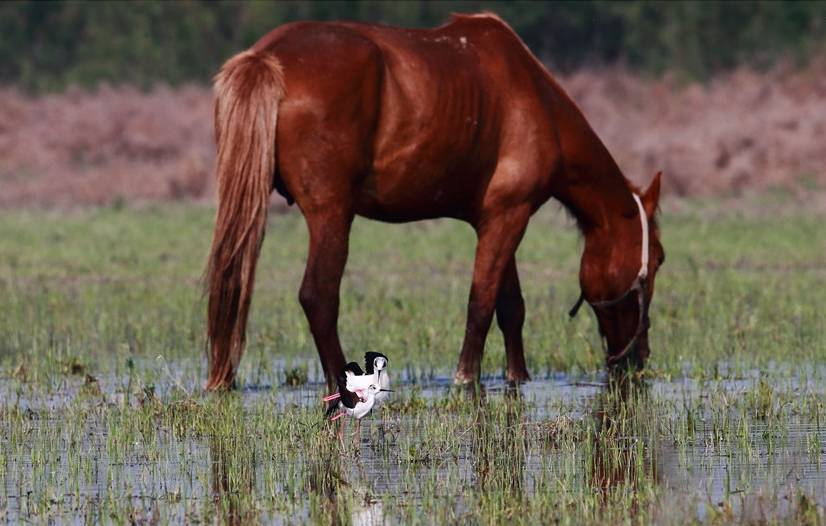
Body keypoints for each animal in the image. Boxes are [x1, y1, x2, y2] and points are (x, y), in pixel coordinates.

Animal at [204, 12, 664, 392]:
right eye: (657, 260)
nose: (639, 358)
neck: (537, 101)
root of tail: (266, 57)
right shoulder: (509, 217)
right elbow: (481, 303)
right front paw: (466, 379)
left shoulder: (496, 218)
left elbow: (510, 307)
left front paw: (518, 377)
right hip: (331, 214)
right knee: (319, 296)